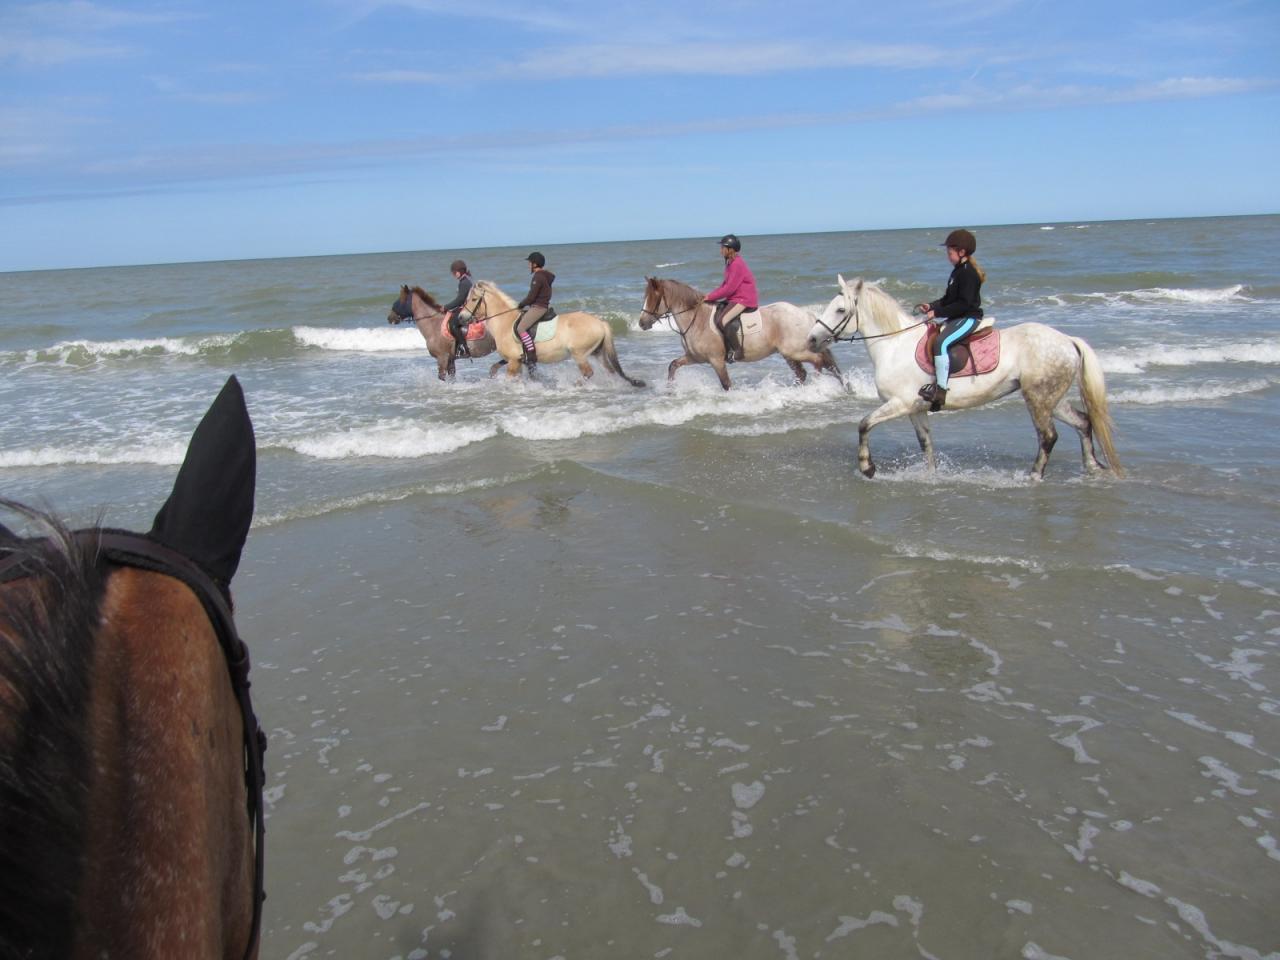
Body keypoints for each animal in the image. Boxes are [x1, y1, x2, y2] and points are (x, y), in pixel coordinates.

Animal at [460, 277, 645, 386]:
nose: (461, 317)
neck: (505, 322)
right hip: (598, 353)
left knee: (588, 373)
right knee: (610, 371)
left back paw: (575, 385)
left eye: (474, 299)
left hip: (579, 354)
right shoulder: (521, 361)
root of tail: (600, 322)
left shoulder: (513, 362)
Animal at [634, 273, 844, 391]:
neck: (697, 320)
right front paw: (670, 389)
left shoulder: (716, 361)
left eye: (653, 299)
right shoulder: (695, 357)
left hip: (794, 351)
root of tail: (804, 313)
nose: (642, 323)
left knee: (819, 362)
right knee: (807, 371)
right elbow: (673, 365)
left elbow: (726, 385)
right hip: (789, 354)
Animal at [808, 276, 1121, 481]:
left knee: (1048, 436)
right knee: (1083, 422)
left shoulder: (900, 403)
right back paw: (1092, 468)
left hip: (1038, 399)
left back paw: (1033, 476)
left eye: (840, 309)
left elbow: (864, 425)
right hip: (1051, 397)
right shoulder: (915, 409)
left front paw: (867, 468)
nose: (811, 339)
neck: (894, 344)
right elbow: (925, 443)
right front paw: (930, 476)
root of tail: (1067, 340)